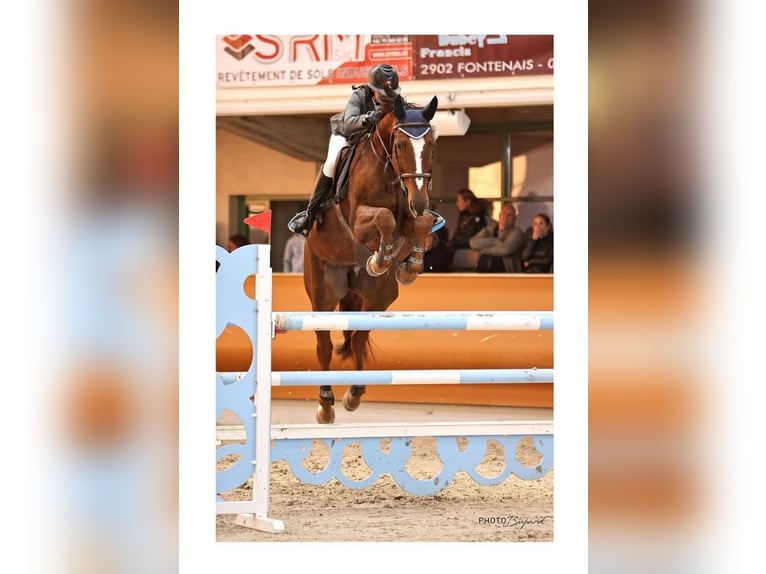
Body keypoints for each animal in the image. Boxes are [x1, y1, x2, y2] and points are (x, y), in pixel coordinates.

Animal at [303, 94, 439, 423]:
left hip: (378, 296)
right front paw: (381, 257)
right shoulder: (359, 219)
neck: (389, 171)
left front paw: (408, 265)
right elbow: (384, 218)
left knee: (359, 337)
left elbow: (422, 222)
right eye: (400, 145)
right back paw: (326, 403)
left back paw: (354, 393)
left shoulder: (412, 215)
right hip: (322, 290)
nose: (419, 200)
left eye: (432, 145)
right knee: (324, 344)